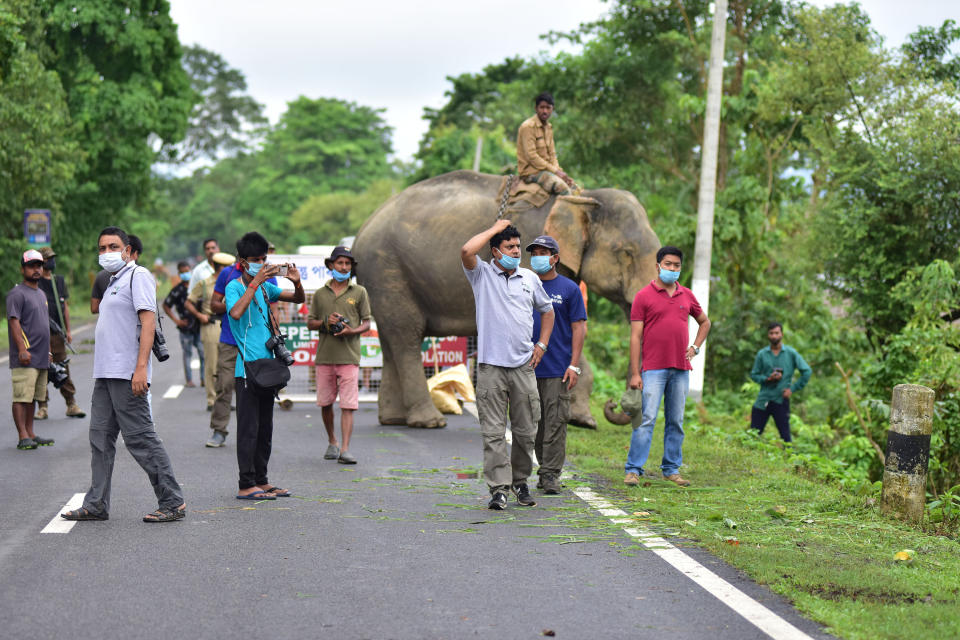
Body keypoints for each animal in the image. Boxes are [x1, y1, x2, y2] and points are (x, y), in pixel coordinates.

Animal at [352, 170, 660, 430]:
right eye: (626, 252)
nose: (613, 404)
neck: (581, 197)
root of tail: (361, 233)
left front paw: (583, 421)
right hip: (387, 271)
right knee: (406, 336)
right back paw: (431, 422)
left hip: (385, 280)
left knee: (392, 339)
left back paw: (394, 420)